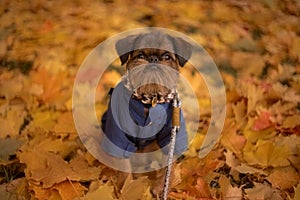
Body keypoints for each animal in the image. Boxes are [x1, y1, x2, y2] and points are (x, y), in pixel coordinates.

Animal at [101, 31, 192, 197]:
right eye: (141, 55)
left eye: (167, 57)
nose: (153, 59)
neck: (149, 99)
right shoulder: (119, 135)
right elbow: (124, 165)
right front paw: (126, 189)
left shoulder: (171, 135)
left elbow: (167, 165)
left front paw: (160, 188)